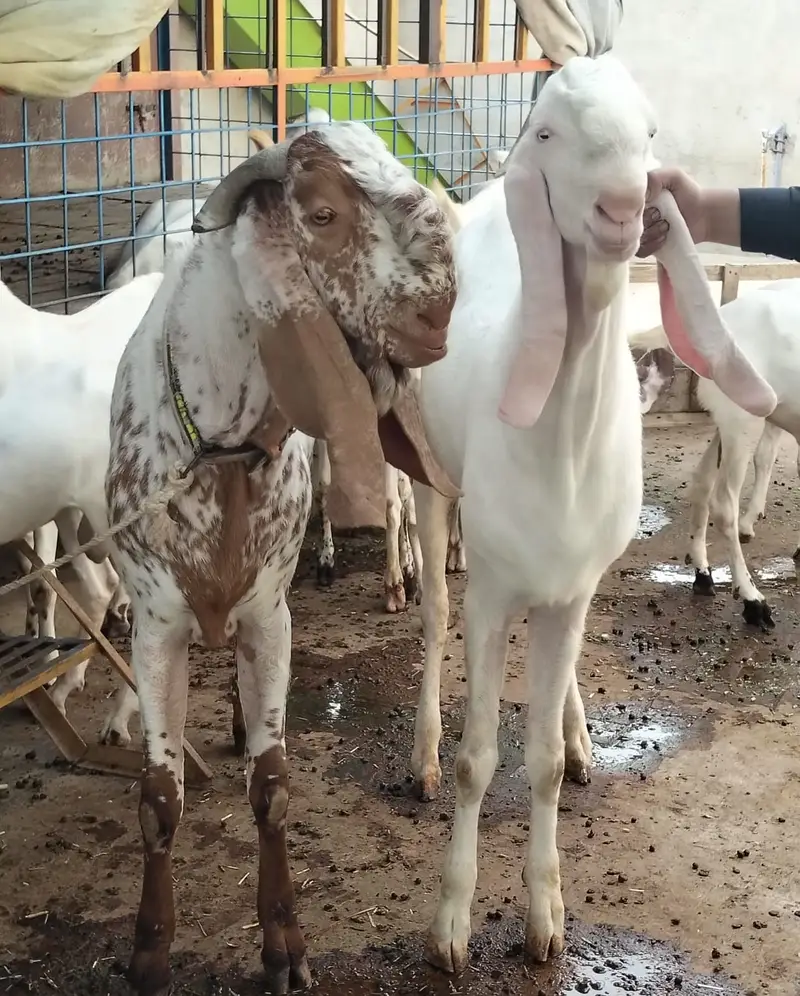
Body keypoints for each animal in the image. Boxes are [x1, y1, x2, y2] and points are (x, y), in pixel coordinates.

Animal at [104, 120, 460, 996]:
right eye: (323, 213)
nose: (438, 312)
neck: (221, 449)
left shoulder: (270, 615)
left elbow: (271, 787)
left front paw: (285, 948)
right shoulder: (155, 622)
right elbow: (159, 798)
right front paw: (150, 954)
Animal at [408, 54, 774, 974]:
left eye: (648, 133)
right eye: (547, 131)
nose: (621, 210)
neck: (561, 441)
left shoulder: (569, 589)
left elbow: (535, 762)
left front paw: (545, 915)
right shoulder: (493, 595)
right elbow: (478, 760)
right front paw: (451, 924)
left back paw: (578, 738)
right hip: (429, 481)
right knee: (432, 612)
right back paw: (421, 751)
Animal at [630, 278, 800, 630]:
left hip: (727, 421)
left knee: (702, 482)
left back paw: (703, 573)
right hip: (743, 419)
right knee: (723, 503)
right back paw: (753, 601)